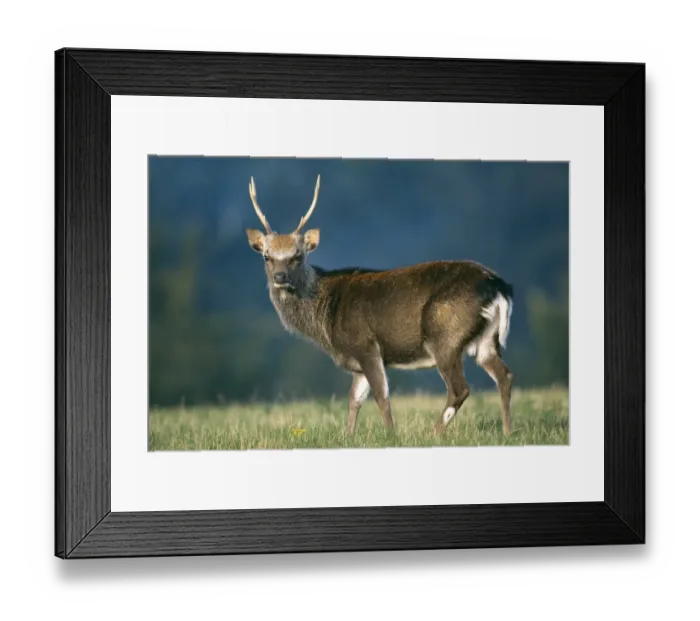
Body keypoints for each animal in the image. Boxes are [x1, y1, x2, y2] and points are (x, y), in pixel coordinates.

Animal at [245, 175, 515, 437]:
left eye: (297, 256)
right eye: (267, 256)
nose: (280, 277)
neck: (325, 320)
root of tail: (499, 286)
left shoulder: (366, 345)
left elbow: (381, 396)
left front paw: (391, 436)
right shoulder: (357, 363)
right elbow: (353, 400)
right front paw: (348, 437)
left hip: (445, 336)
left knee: (460, 389)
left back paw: (433, 433)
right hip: (486, 340)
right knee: (504, 376)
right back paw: (507, 432)